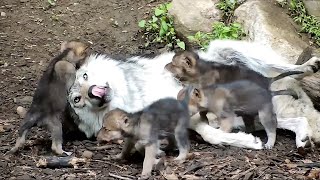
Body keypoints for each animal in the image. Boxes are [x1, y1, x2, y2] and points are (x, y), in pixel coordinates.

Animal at [68, 40, 320, 150]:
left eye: (85, 76)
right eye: (76, 100)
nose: (90, 92)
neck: (132, 97)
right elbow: (210, 134)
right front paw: (245, 141)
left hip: (227, 46)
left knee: (284, 66)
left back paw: (309, 66)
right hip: (255, 113)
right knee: (293, 120)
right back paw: (302, 139)